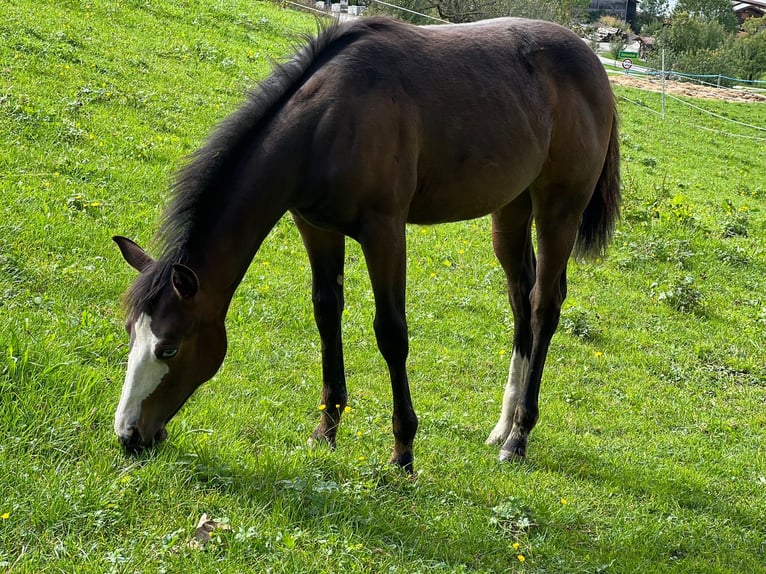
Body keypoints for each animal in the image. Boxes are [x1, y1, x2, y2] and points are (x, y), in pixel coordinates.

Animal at [112, 16, 620, 471]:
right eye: (131, 333)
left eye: (169, 348)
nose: (128, 436)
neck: (330, 121)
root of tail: (593, 65)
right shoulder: (316, 227)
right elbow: (326, 314)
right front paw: (327, 429)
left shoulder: (384, 232)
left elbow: (391, 333)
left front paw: (403, 451)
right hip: (510, 209)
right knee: (520, 301)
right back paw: (502, 425)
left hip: (559, 210)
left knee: (543, 306)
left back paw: (518, 437)